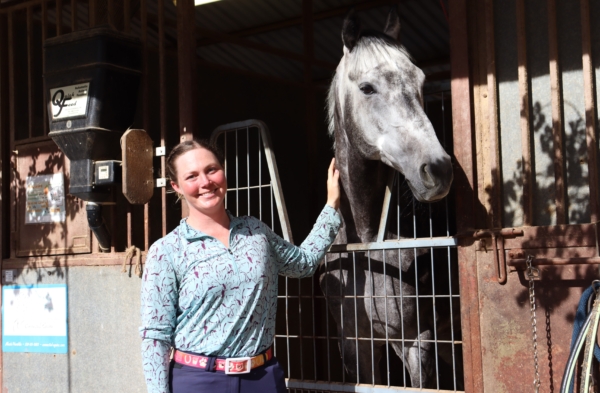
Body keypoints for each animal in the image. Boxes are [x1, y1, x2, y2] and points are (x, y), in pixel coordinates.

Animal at [318, 6, 460, 388]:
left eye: (421, 82)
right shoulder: (356, 346)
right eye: (367, 88)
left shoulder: (416, 342)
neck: (368, 245)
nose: (438, 170)